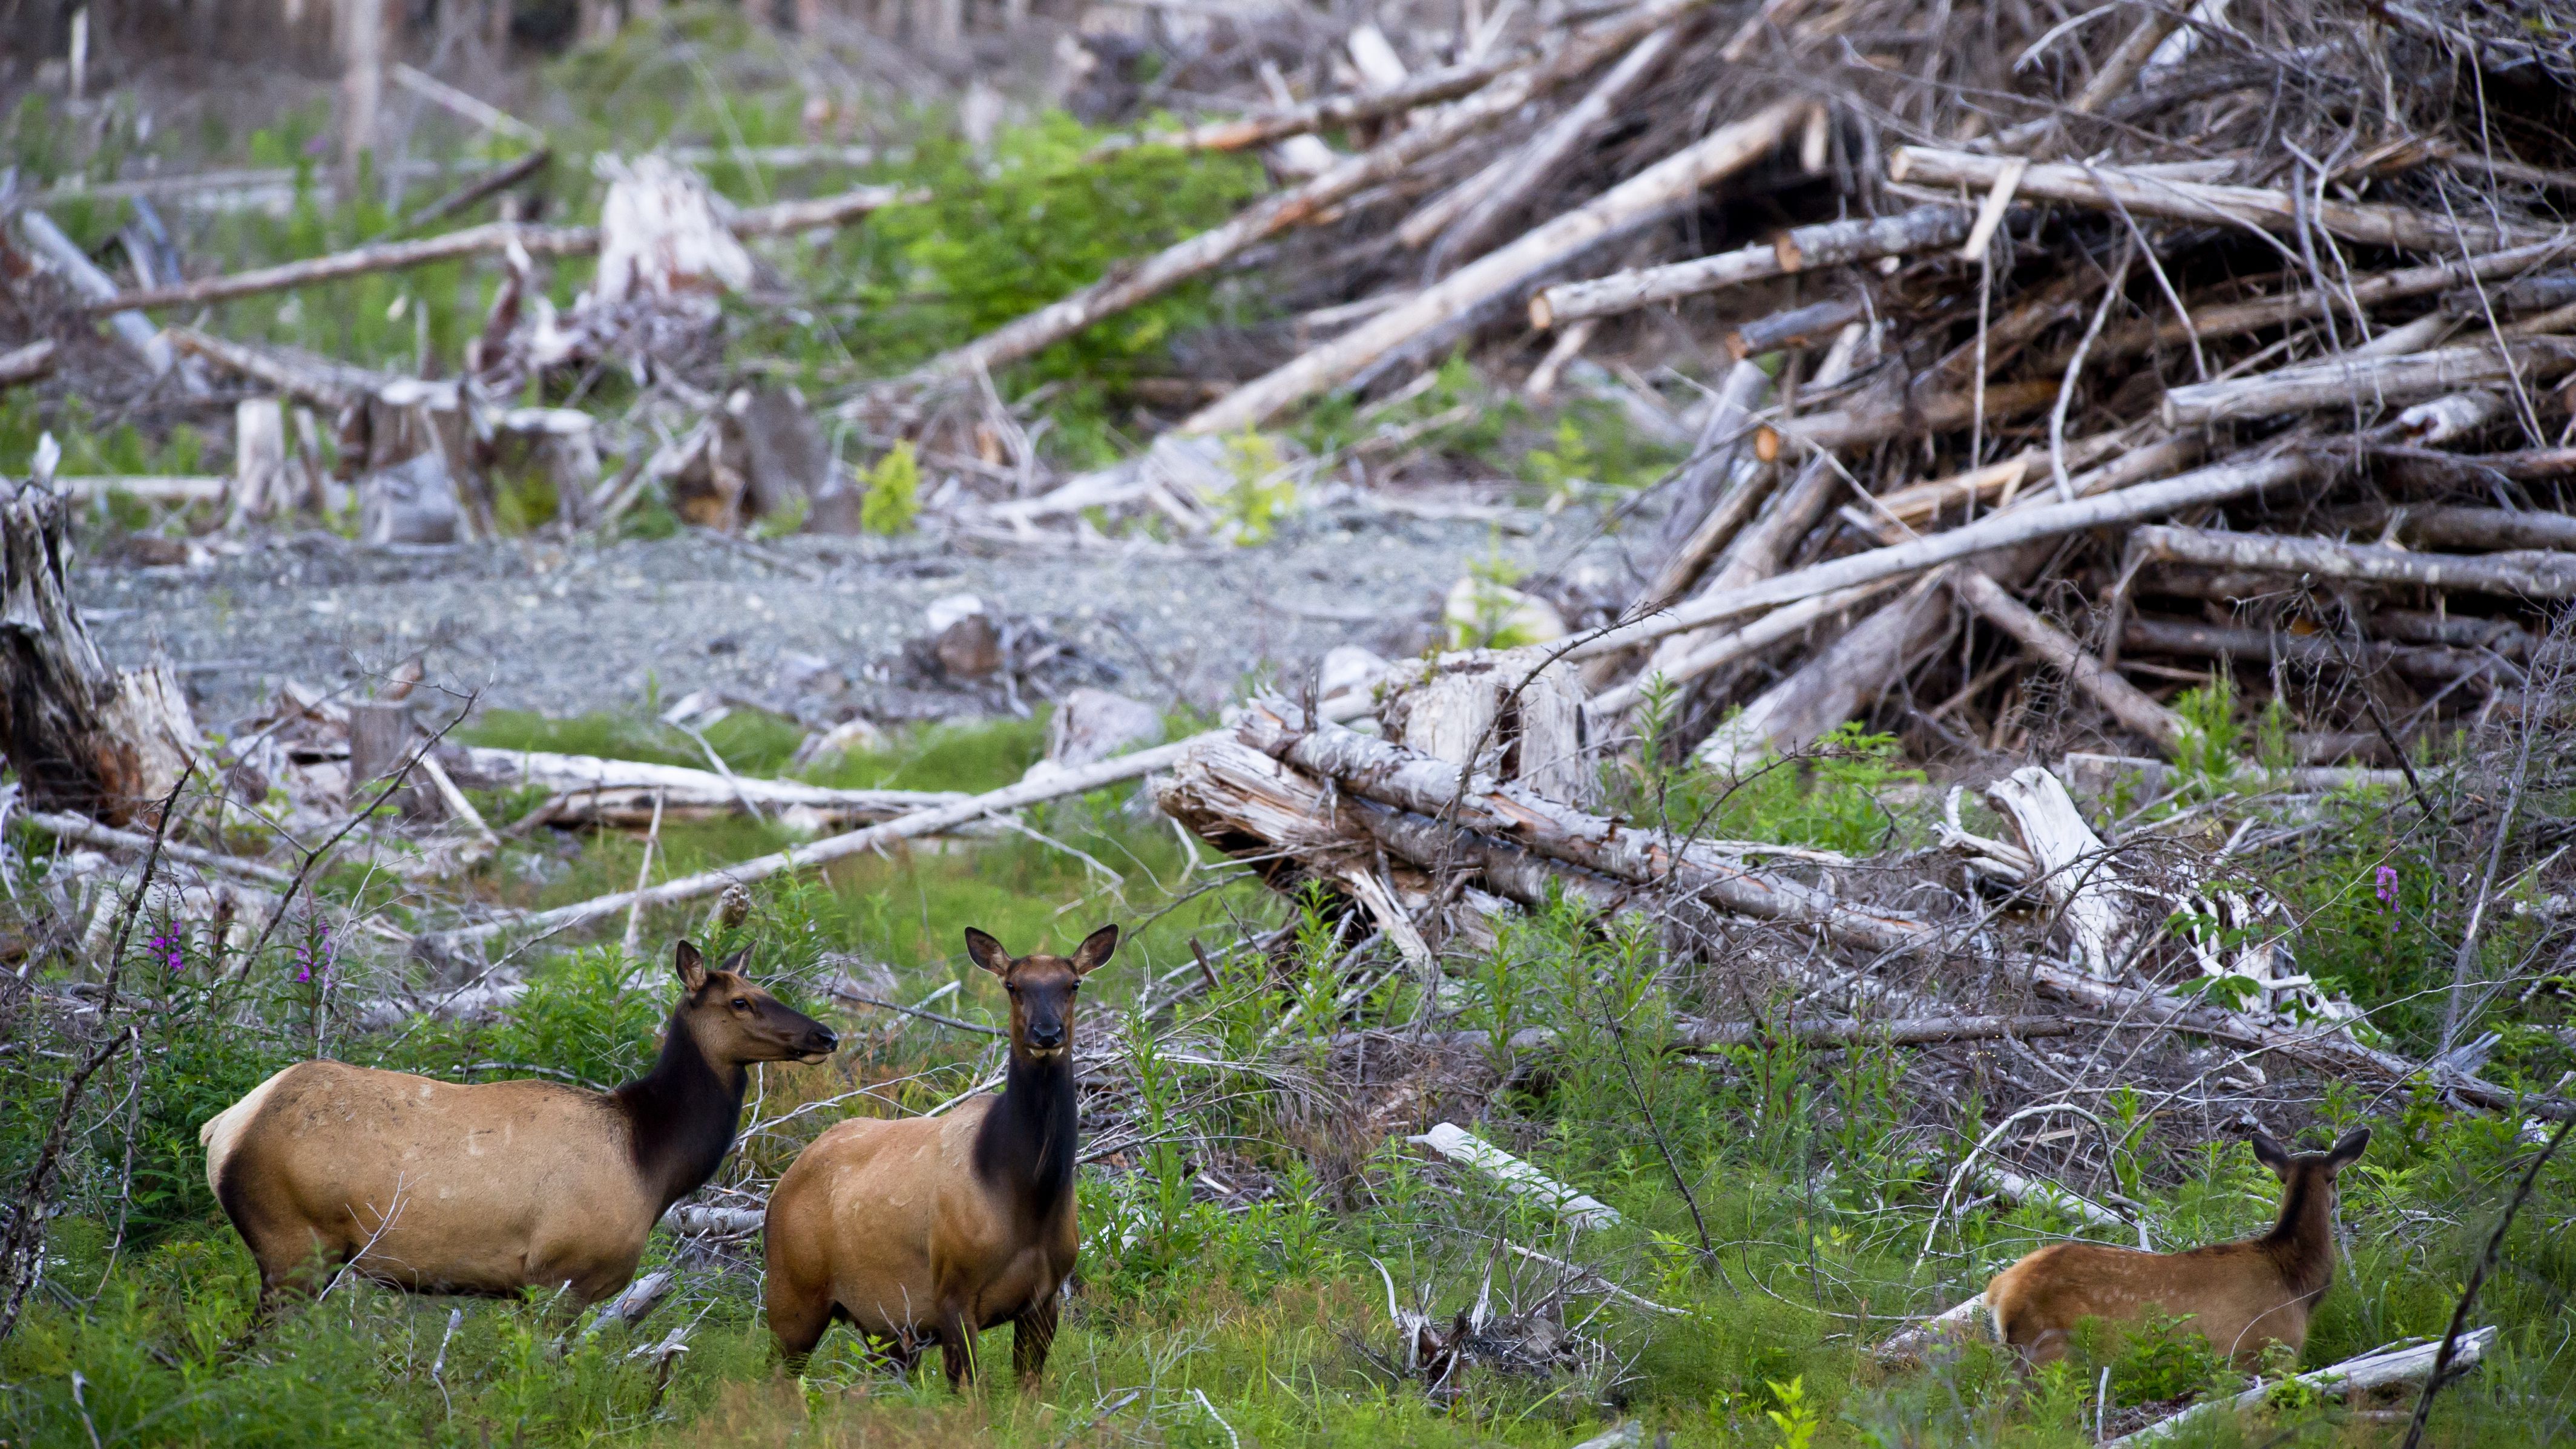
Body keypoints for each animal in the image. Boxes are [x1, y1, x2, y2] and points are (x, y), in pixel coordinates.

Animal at [199, 944, 829, 1315]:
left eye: (770, 991)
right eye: (742, 1002)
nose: (826, 1035)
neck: (651, 1160)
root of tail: (222, 1128)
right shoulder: (562, 1276)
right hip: (291, 1244)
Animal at [767, 918, 1123, 1382]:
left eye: (1074, 983)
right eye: (1012, 985)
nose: (1046, 1033)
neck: (1028, 1194)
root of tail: (780, 1186)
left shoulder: (1045, 1301)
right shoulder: (952, 1293)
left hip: (885, 1328)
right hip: (793, 1297)